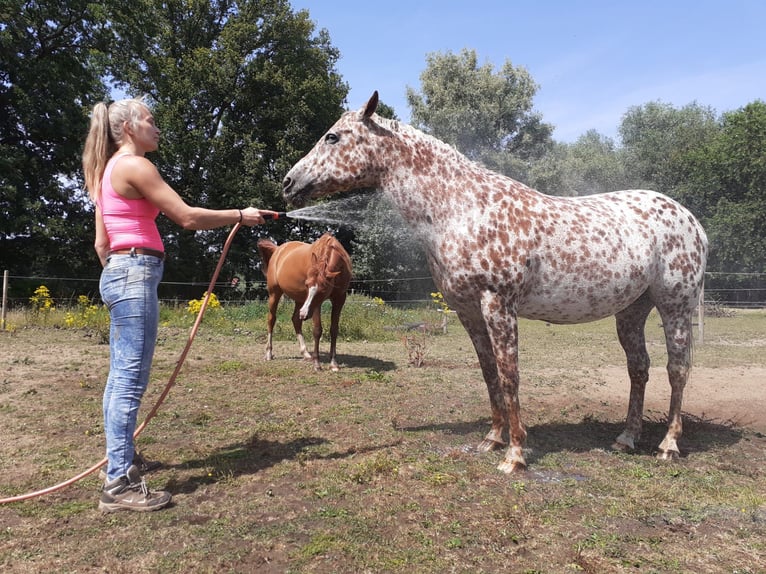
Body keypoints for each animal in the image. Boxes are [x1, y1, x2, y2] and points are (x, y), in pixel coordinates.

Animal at [258, 234, 354, 374]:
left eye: (322, 289)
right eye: (307, 284)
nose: (304, 314)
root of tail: (277, 250)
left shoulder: (339, 299)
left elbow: (334, 329)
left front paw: (333, 363)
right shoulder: (316, 305)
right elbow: (317, 330)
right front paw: (317, 364)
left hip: (299, 300)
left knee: (296, 320)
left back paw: (306, 353)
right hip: (274, 294)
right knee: (271, 320)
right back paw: (269, 353)